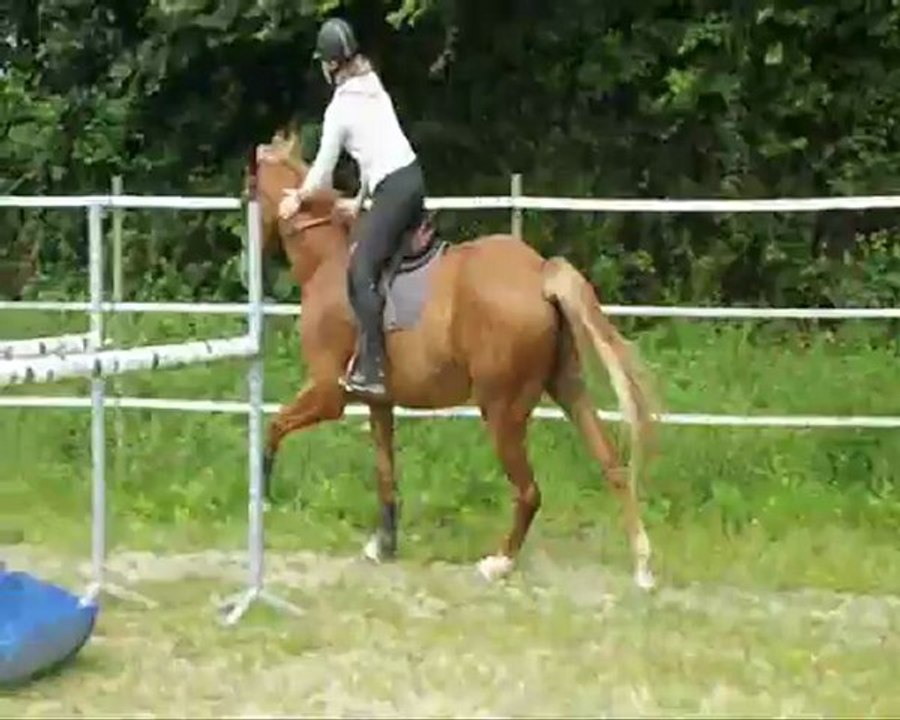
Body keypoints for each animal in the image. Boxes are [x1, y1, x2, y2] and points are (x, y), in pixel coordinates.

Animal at [249, 129, 660, 590]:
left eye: (249, 188)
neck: (329, 259)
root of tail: (539, 274)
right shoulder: (379, 401)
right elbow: (386, 472)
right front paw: (383, 545)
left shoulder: (327, 392)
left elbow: (274, 426)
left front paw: (261, 496)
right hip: (568, 388)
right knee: (613, 466)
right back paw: (642, 566)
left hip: (501, 410)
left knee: (529, 491)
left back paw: (499, 562)